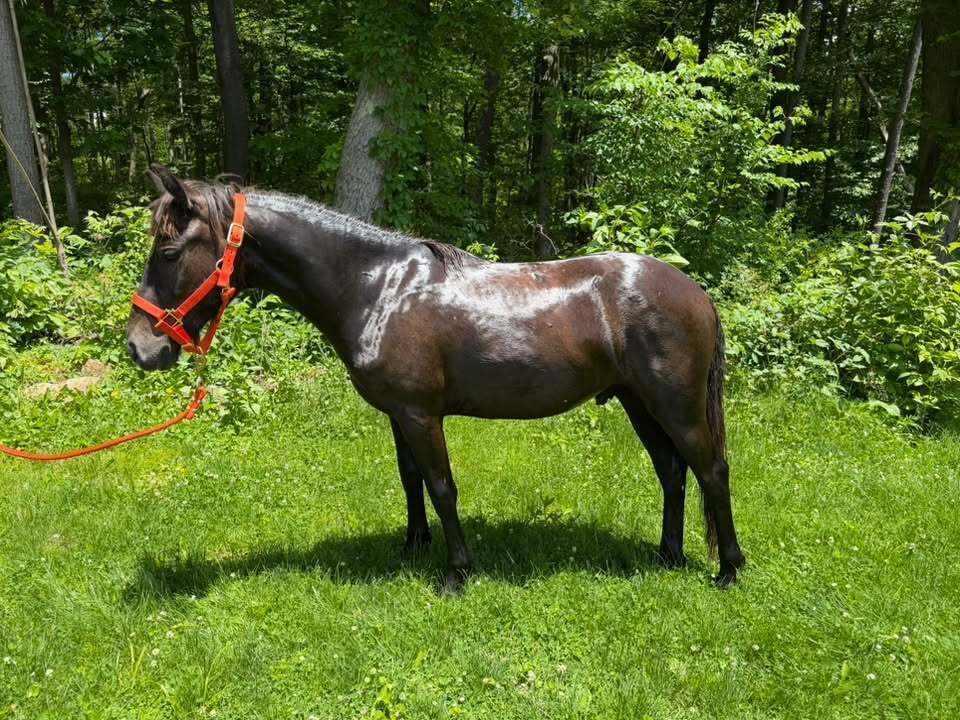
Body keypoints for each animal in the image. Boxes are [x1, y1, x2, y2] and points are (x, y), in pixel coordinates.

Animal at [127, 165, 746, 593]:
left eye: (169, 251)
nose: (139, 347)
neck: (377, 287)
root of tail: (695, 292)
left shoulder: (422, 414)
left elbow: (443, 486)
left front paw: (456, 573)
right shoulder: (399, 414)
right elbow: (411, 481)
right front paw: (412, 547)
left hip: (675, 405)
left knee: (710, 471)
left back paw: (728, 570)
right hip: (639, 403)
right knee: (672, 473)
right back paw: (667, 555)